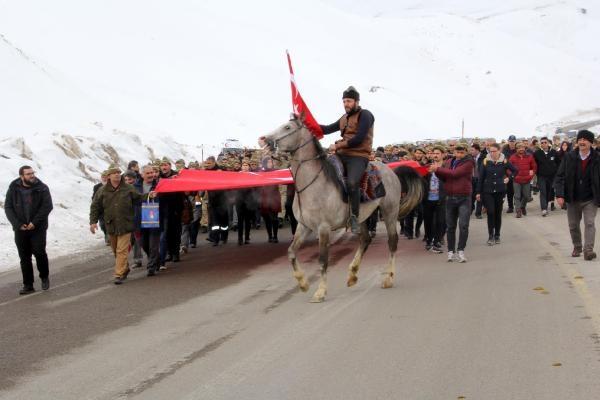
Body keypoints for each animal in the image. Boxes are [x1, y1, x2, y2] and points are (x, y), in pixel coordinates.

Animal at [260, 117, 424, 302]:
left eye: (287, 127)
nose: (264, 140)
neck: (312, 184)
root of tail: (391, 171)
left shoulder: (323, 228)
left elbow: (323, 260)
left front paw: (320, 292)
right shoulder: (304, 226)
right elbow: (291, 252)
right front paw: (303, 283)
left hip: (389, 212)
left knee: (392, 242)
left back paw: (388, 278)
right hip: (361, 218)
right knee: (365, 240)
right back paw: (352, 275)